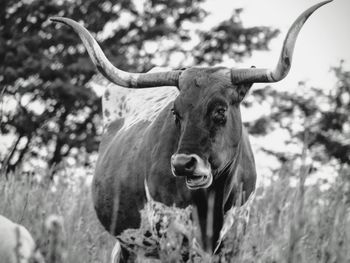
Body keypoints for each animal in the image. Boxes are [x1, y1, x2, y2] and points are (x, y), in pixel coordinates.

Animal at [50, 0, 330, 260]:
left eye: (220, 110)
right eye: (176, 112)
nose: (183, 164)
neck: (212, 199)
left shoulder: (235, 238)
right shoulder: (172, 238)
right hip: (131, 244)